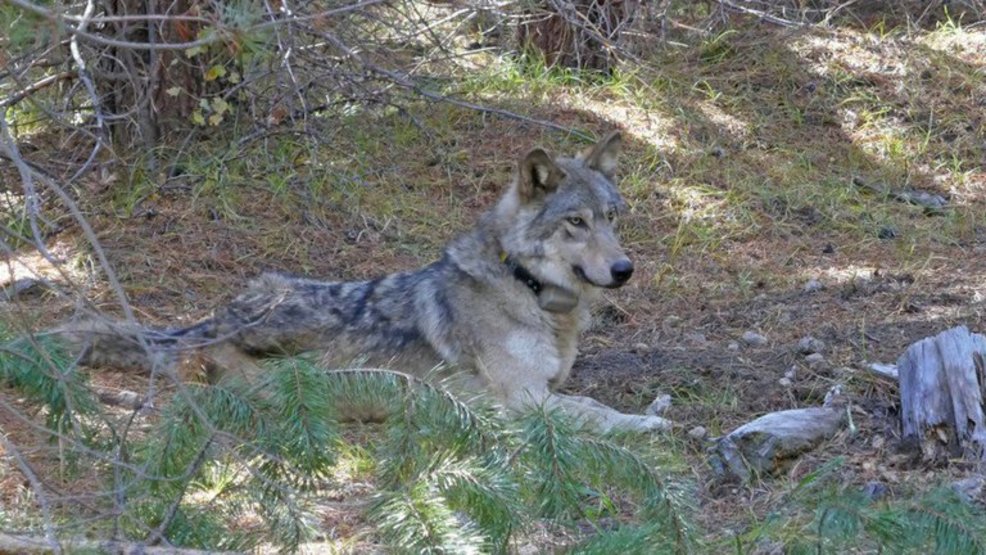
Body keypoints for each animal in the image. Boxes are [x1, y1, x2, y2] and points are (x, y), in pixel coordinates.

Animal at [65, 131, 672, 434]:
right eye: (576, 222)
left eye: (611, 217)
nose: (625, 269)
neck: (527, 289)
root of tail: (213, 320)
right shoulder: (523, 400)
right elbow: (597, 413)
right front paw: (645, 423)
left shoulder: (547, 387)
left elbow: (588, 398)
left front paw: (654, 407)